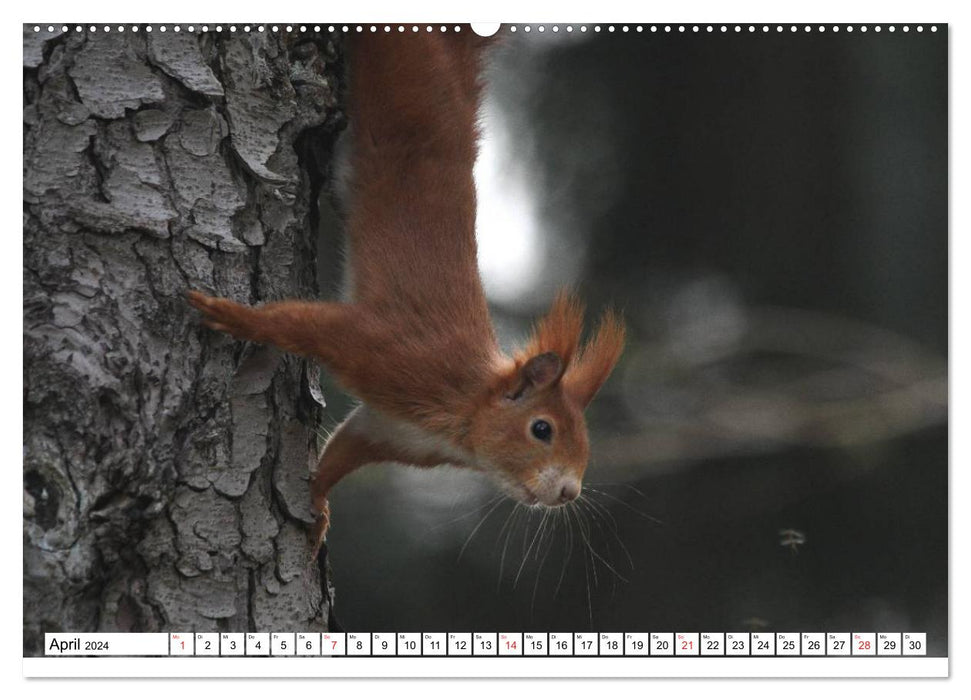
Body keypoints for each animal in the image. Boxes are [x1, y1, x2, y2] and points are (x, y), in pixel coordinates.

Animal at [191, 27, 632, 556]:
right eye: (541, 428)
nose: (569, 492)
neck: (462, 411)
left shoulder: (385, 430)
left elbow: (340, 453)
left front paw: (318, 510)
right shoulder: (392, 352)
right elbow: (304, 325)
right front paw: (230, 315)